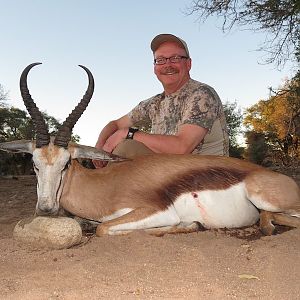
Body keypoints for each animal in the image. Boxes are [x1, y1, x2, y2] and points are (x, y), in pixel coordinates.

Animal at [0, 63, 300, 237]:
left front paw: (190, 225)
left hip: (264, 197)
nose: (46, 209)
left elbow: (104, 229)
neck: (108, 185)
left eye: (65, 164)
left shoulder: (156, 211)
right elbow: (94, 226)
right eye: (35, 164)